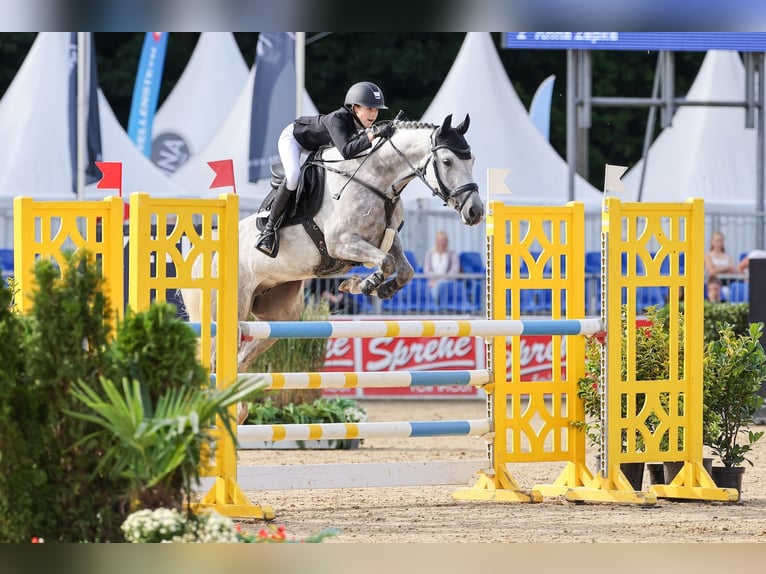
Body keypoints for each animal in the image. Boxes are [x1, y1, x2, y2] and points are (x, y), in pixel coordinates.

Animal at [180, 115, 484, 380]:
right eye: (447, 161)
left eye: (472, 160)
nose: (476, 212)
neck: (375, 180)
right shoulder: (340, 242)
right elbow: (385, 263)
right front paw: (364, 284)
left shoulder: (387, 238)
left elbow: (404, 269)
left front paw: (378, 288)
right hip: (227, 311)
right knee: (214, 358)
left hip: (279, 313)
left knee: (241, 358)